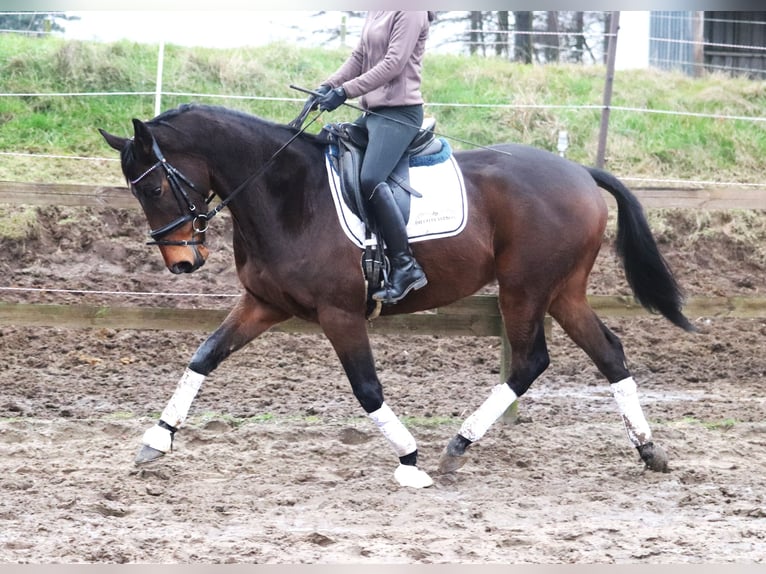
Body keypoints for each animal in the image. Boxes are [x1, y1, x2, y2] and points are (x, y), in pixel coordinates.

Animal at [97, 103, 696, 490]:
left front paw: (410, 458)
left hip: (526, 288)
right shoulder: (265, 304)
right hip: (562, 291)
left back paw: (457, 448)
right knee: (609, 352)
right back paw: (647, 450)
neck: (287, 193)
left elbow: (366, 388)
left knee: (530, 361)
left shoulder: (340, 313)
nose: (183, 262)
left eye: (155, 186)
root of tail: (580, 172)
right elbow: (203, 357)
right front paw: (157, 440)